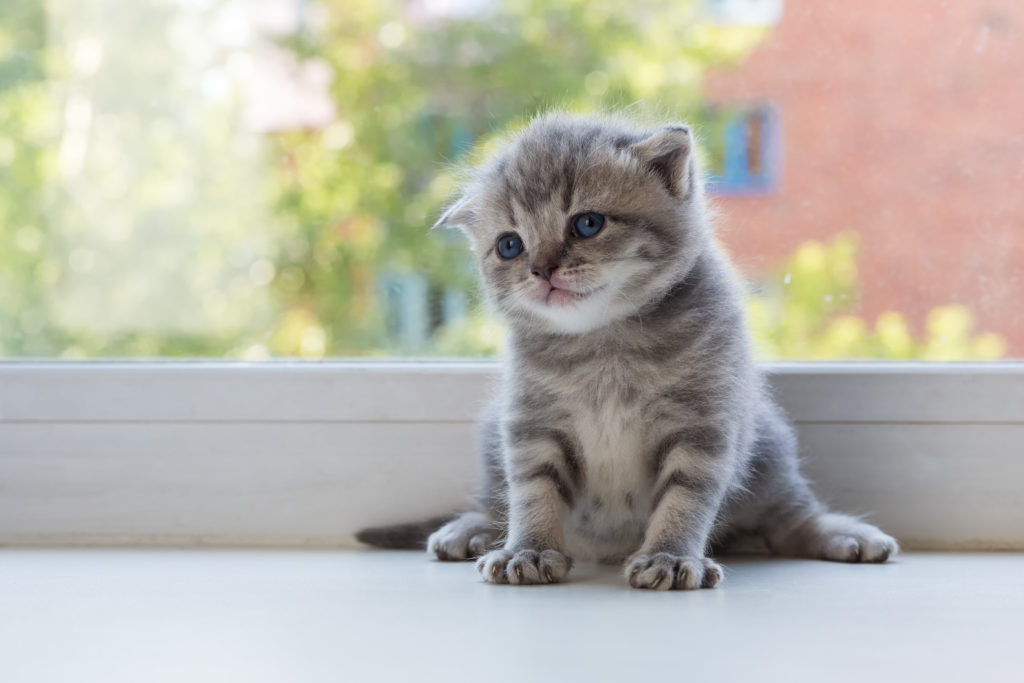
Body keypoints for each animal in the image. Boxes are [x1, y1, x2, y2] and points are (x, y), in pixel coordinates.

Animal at [358, 112, 897, 589]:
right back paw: (470, 529)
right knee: (496, 502)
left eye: (587, 224)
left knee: (791, 520)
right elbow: (531, 491)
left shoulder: (704, 424)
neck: (605, 345)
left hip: (768, 449)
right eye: (510, 246)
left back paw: (847, 535)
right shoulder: (531, 424)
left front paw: (671, 557)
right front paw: (527, 549)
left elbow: (687, 497)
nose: (541, 269)